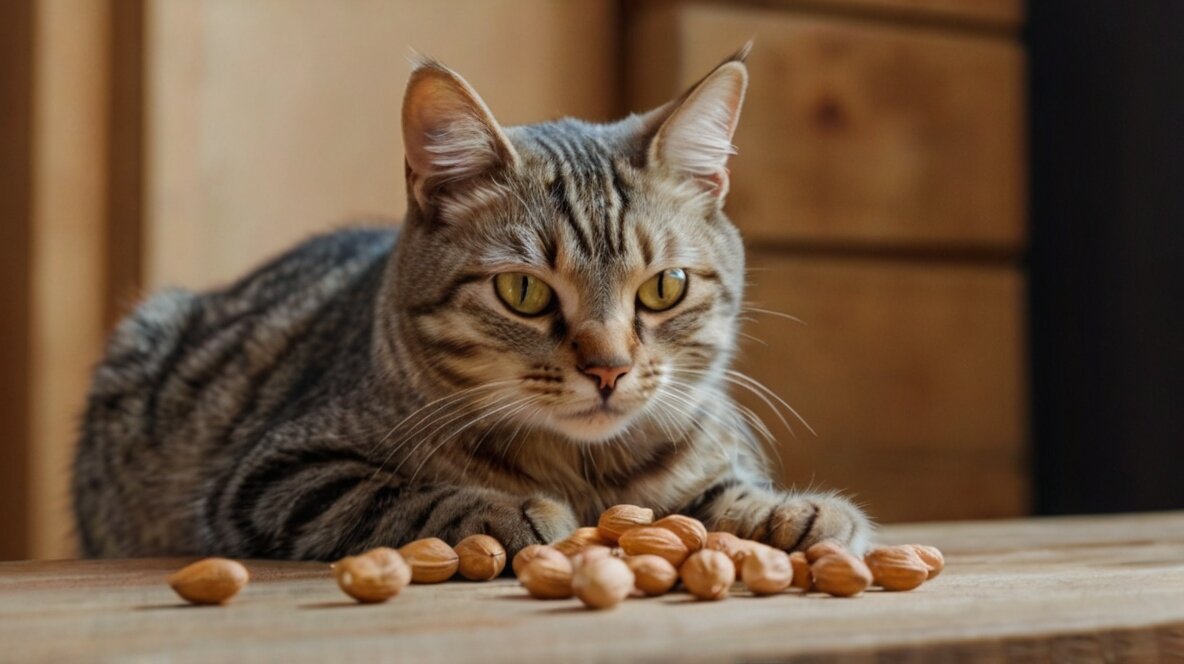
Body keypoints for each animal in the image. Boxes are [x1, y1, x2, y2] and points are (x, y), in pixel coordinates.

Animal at [74, 49, 871, 561]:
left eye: (664, 287)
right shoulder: (274, 475)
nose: (610, 369)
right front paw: (512, 509)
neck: (583, 467)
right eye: (524, 292)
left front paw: (790, 511)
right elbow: (404, 495)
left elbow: (719, 492)